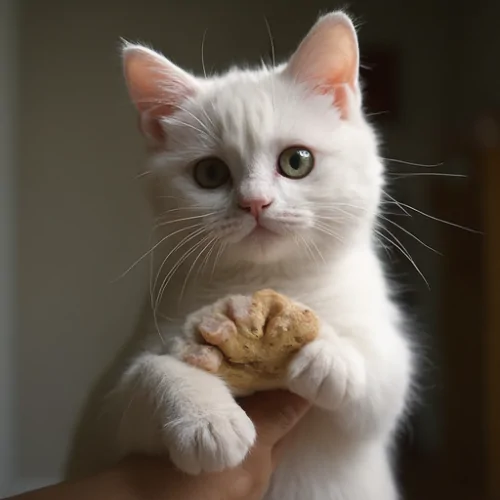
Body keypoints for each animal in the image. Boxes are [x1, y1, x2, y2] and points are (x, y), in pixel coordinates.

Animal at [113, 11, 414, 500]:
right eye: (210, 173)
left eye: (297, 161)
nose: (255, 202)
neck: (269, 279)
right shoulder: (113, 420)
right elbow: (145, 376)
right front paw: (206, 419)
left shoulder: (386, 373)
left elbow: (383, 375)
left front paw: (329, 356)